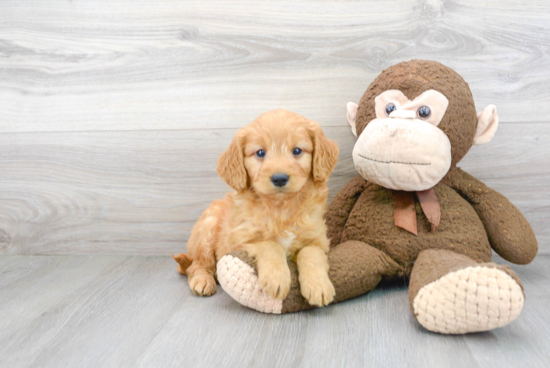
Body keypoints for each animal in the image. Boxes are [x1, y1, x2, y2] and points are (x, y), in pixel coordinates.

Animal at [175, 109, 340, 308]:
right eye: (260, 153)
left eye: (297, 151)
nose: (279, 178)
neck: (280, 208)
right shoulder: (241, 239)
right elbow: (269, 244)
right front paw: (277, 278)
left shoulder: (318, 238)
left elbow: (311, 253)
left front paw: (319, 286)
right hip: (207, 228)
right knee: (197, 265)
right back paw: (203, 280)